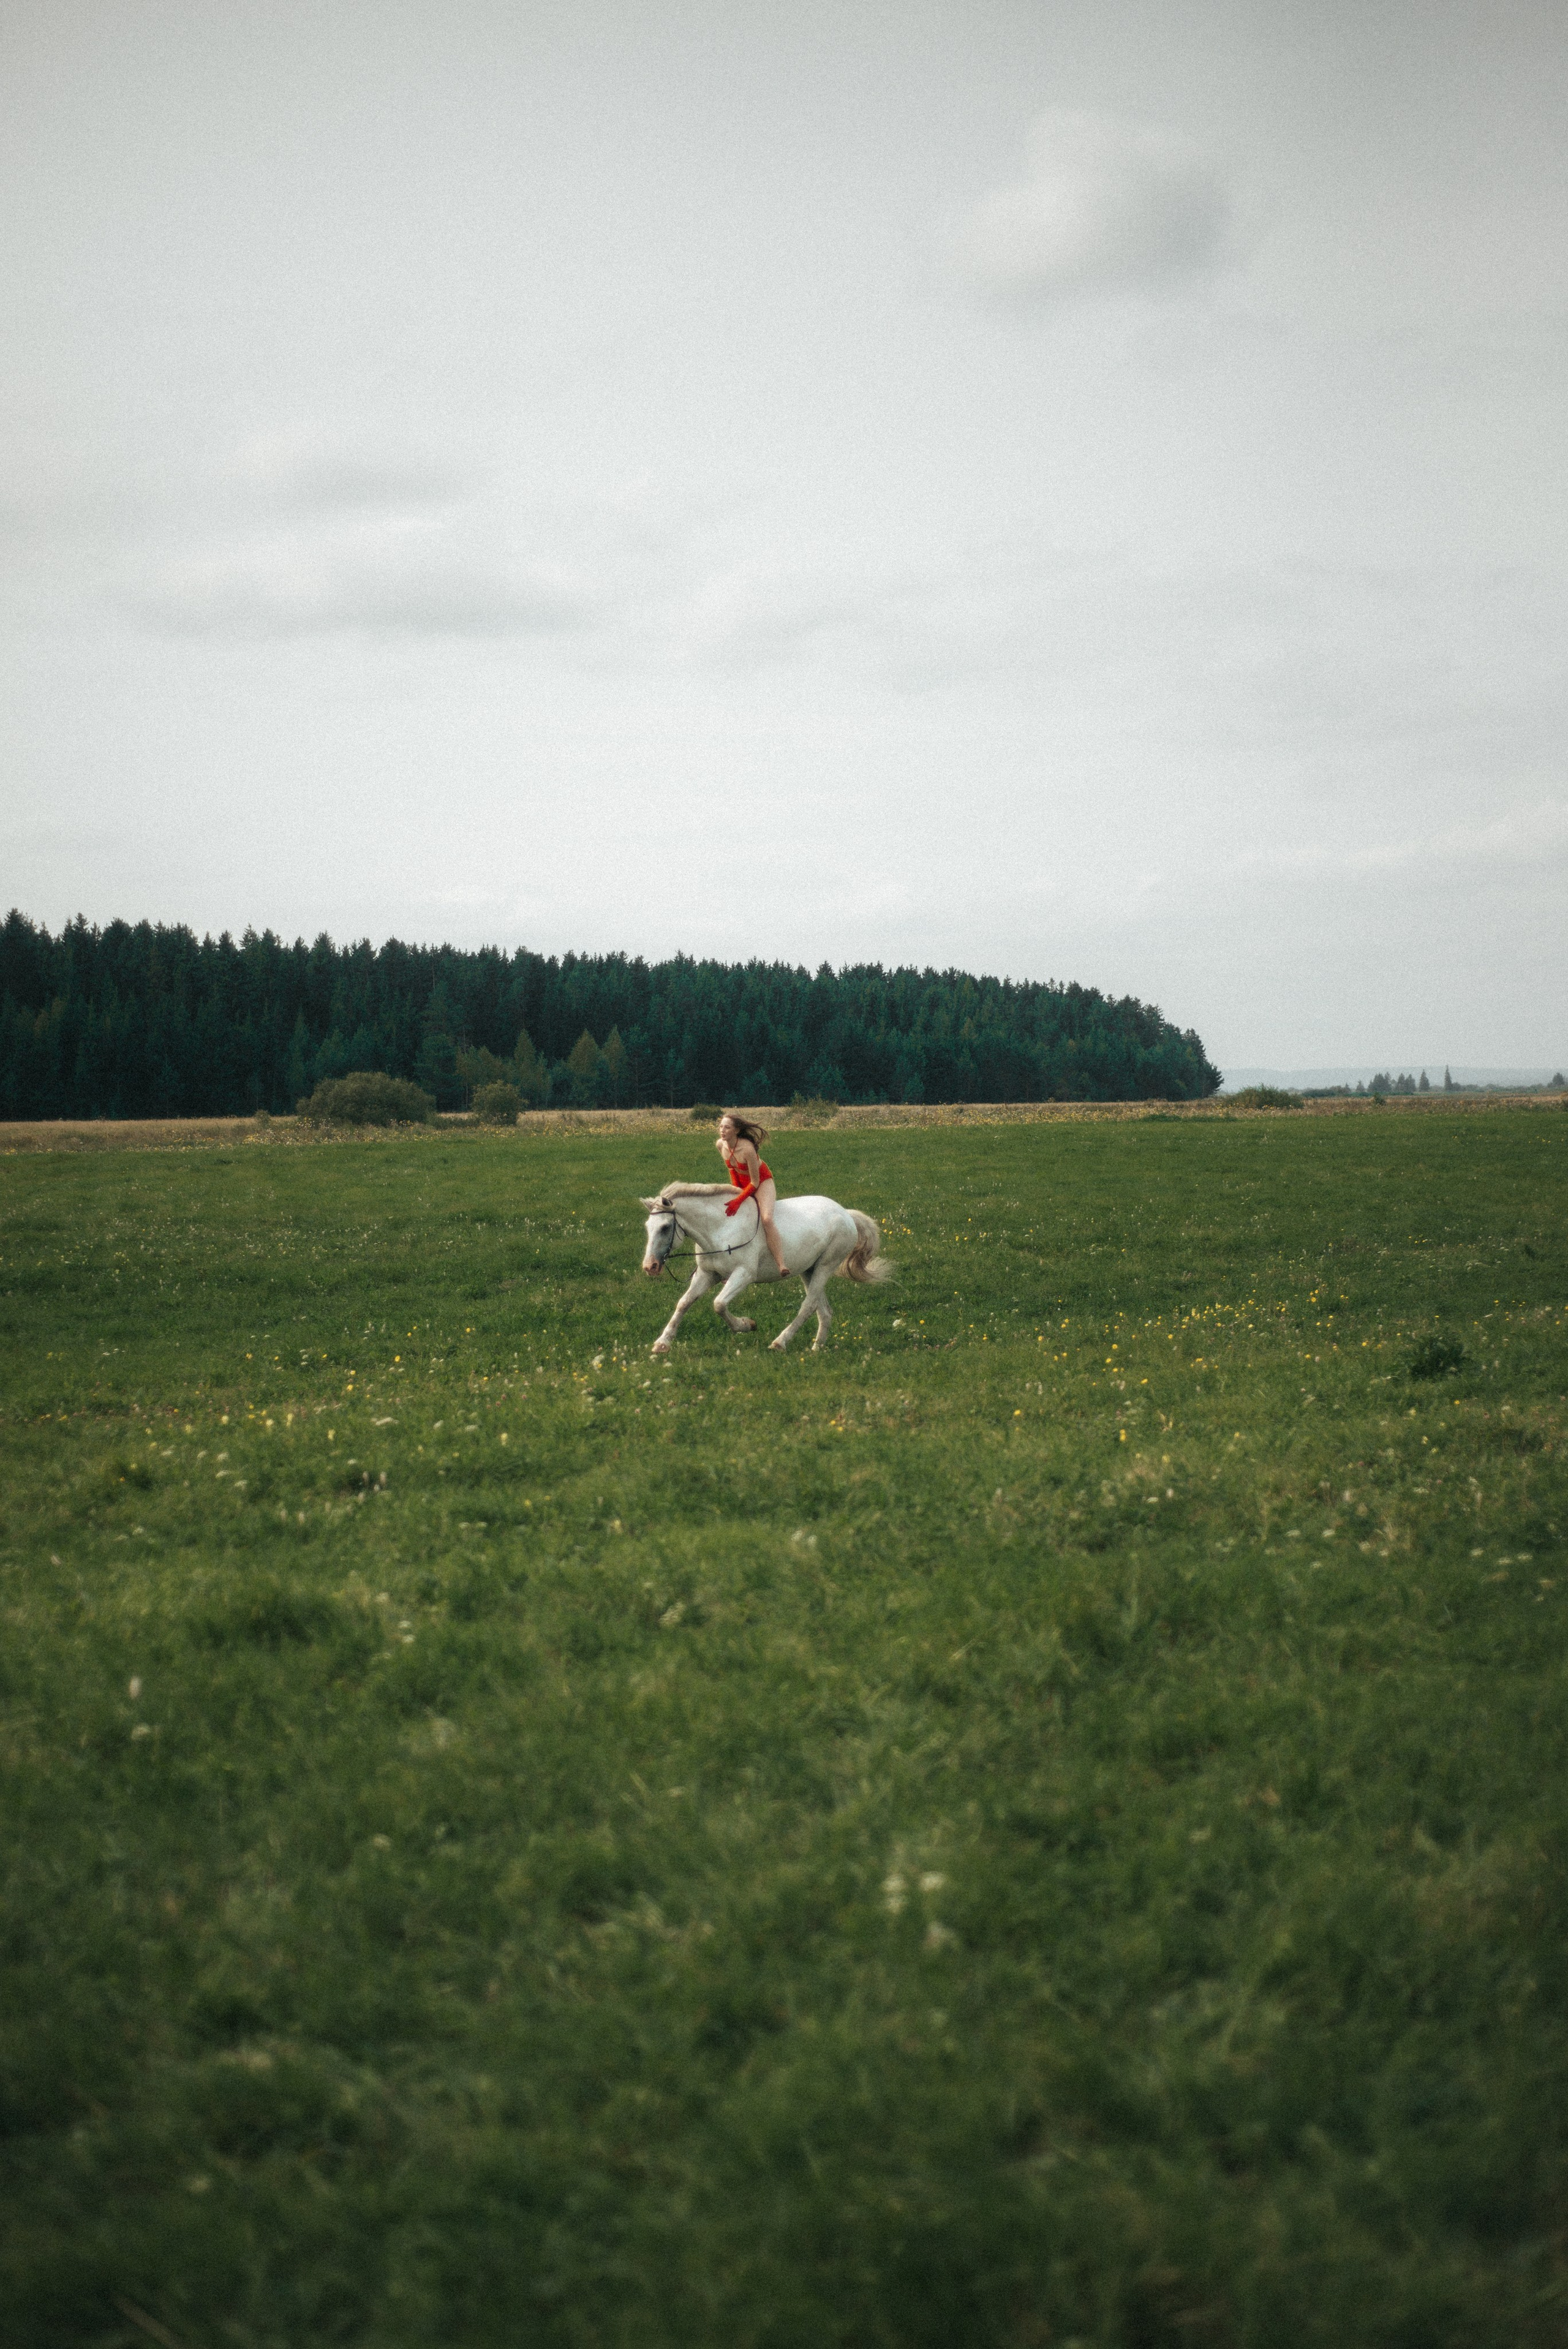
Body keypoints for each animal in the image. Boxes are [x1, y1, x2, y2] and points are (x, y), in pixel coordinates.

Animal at [639, 1182, 891, 1353]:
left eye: (665, 1227)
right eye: (648, 1226)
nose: (650, 1266)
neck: (720, 1229)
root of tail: (845, 1213)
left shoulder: (743, 1275)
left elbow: (719, 1304)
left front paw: (746, 1325)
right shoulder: (707, 1275)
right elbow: (684, 1303)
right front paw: (662, 1343)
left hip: (825, 1267)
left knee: (808, 1306)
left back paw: (780, 1343)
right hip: (808, 1271)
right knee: (824, 1311)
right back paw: (816, 1348)